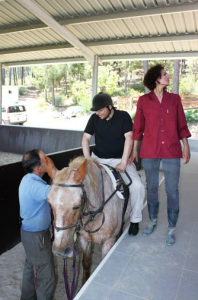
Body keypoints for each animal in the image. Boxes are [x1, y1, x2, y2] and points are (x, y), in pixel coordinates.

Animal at [45, 155, 131, 284]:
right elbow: (86, 263)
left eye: (76, 206)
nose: (59, 250)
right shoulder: (84, 240)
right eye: (49, 203)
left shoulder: (108, 242)